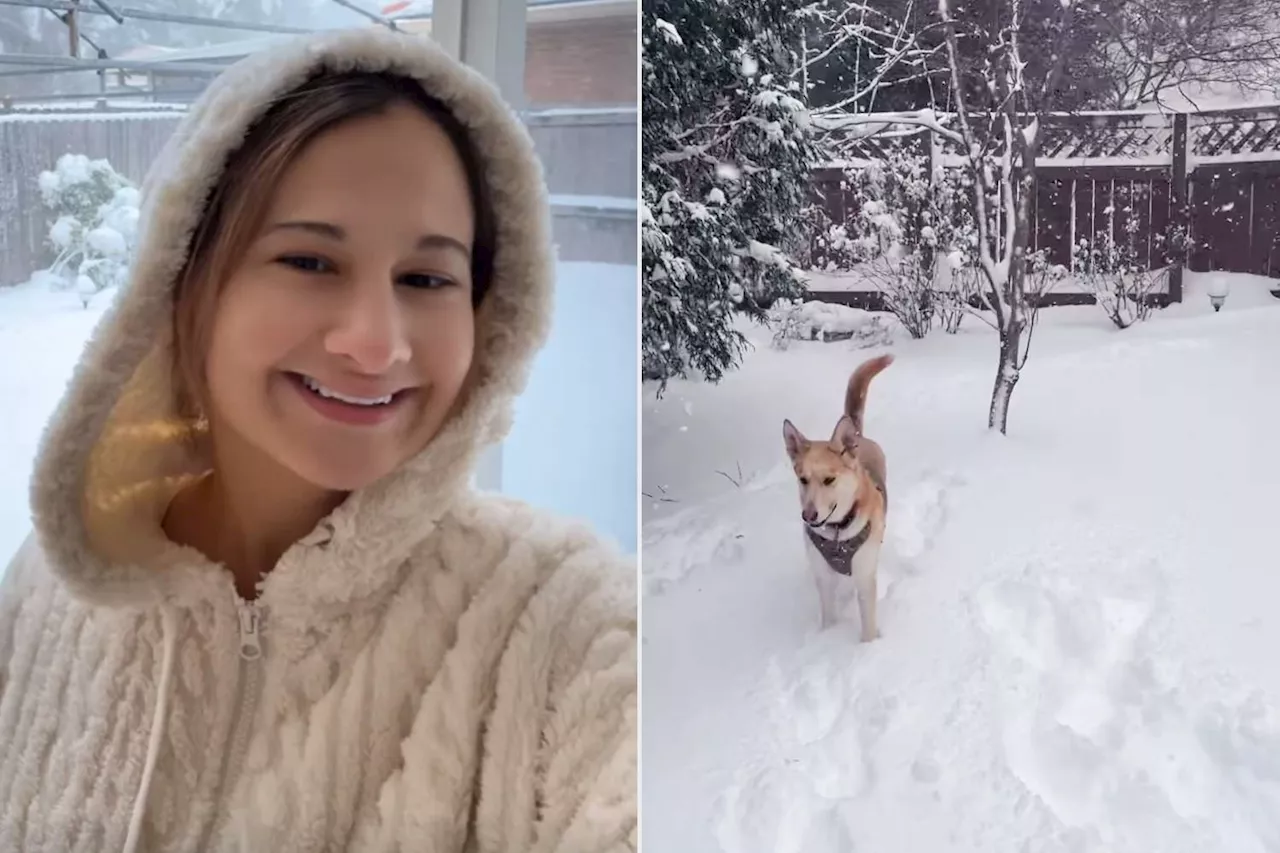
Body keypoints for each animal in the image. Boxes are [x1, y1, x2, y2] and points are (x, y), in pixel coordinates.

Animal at [778, 350, 890, 637]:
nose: (808, 516)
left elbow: (868, 626)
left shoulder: (864, 577)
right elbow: (828, 616)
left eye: (829, 479)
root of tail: (858, 437)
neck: (838, 534)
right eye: (803, 479)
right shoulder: (823, 578)